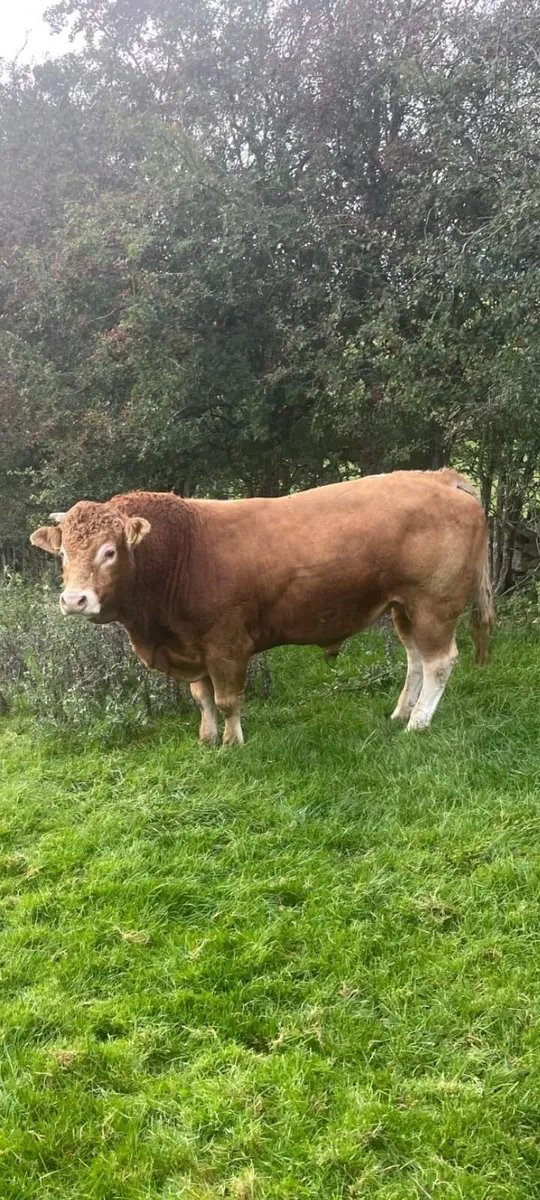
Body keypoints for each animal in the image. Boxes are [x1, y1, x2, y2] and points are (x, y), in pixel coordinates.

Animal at [30, 469, 494, 746]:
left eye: (109, 551)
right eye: (63, 554)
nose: (74, 600)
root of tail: (440, 477)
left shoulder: (226, 644)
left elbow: (227, 698)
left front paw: (231, 742)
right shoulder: (192, 646)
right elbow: (202, 697)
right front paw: (206, 738)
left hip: (434, 604)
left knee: (438, 662)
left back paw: (419, 723)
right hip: (403, 606)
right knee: (415, 659)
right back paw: (401, 713)